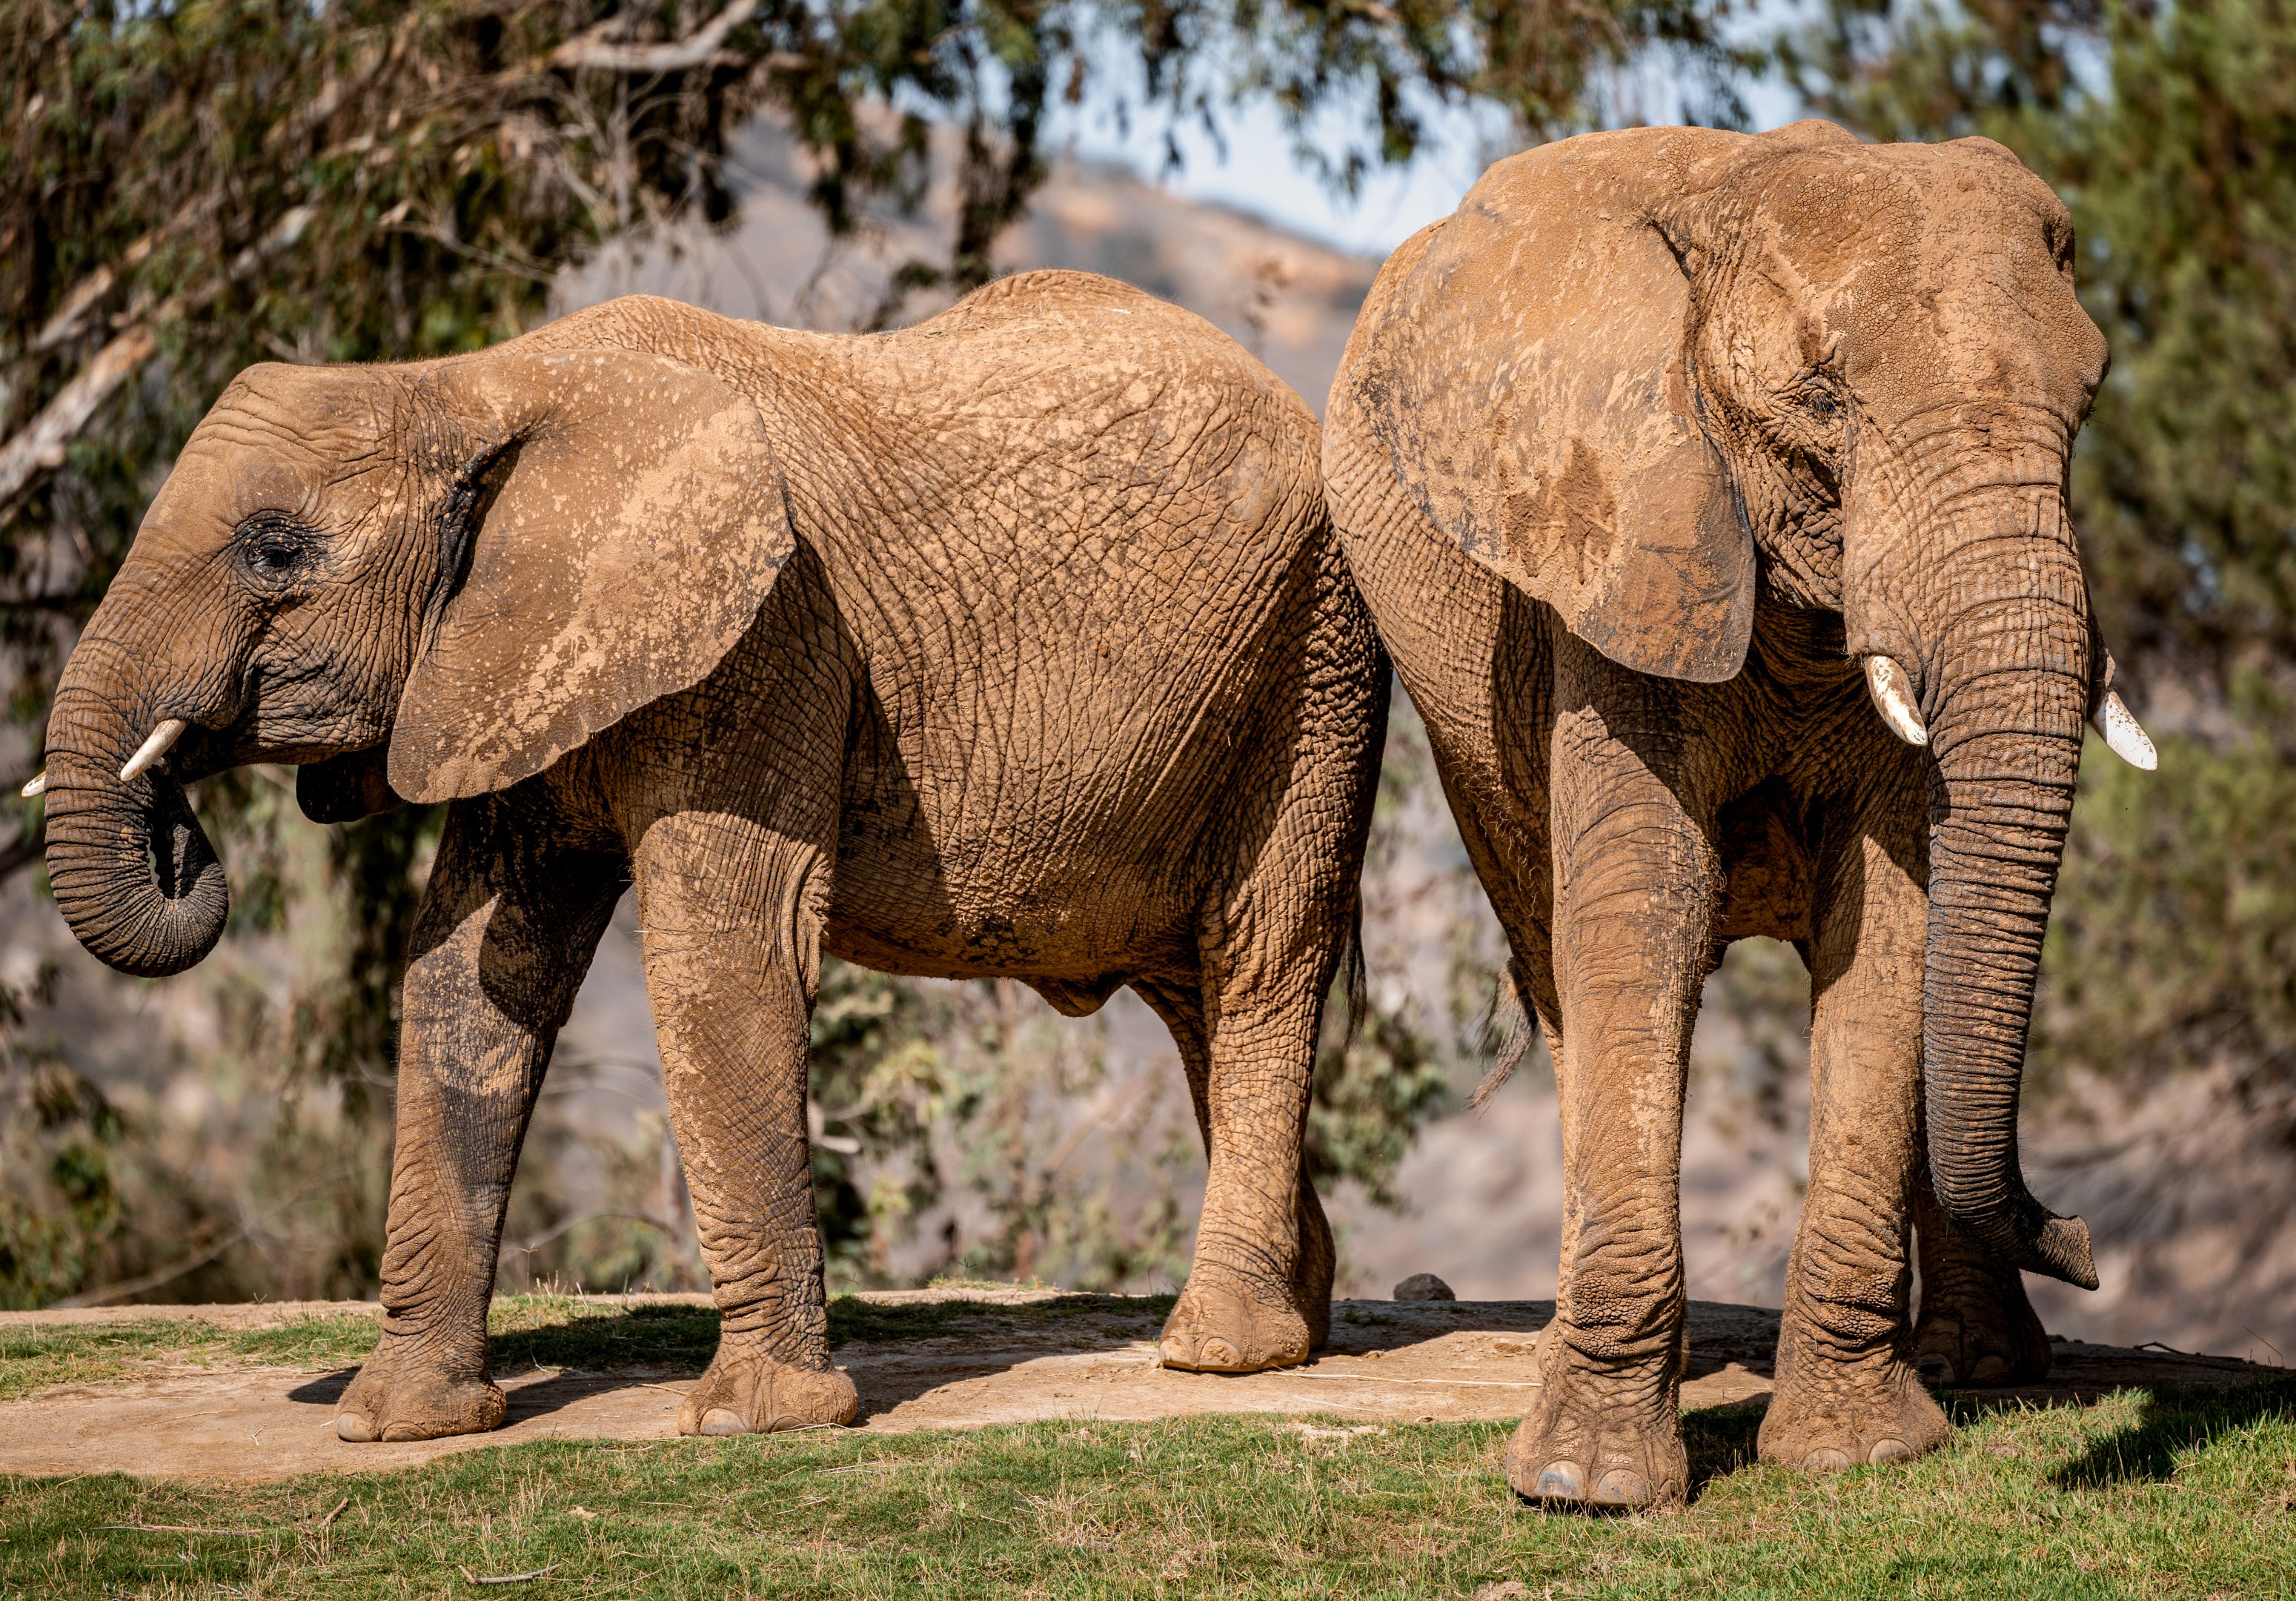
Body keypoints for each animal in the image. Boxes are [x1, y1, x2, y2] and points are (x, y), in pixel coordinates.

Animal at [30, 270, 1388, 1441]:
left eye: (275, 550)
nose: (177, 828)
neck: (475, 384)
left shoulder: (763, 633)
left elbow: (720, 959)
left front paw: (754, 1423)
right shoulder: (515, 661)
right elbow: (469, 977)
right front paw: (398, 1427)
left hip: (1312, 661)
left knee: (1259, 958)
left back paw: (1222, 1352)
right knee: (1195, 990)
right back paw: (1298, 1321)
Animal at [1323, 121, 2155, 1508]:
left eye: (2084, 404)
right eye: (1819, 403)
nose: (2085, 1237)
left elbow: (1894, 927)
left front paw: (1860, 1453)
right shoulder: (1617, 531)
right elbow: (1640, 913)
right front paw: (1587, 1490)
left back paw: (1983, 1370)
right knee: (1553, 955)